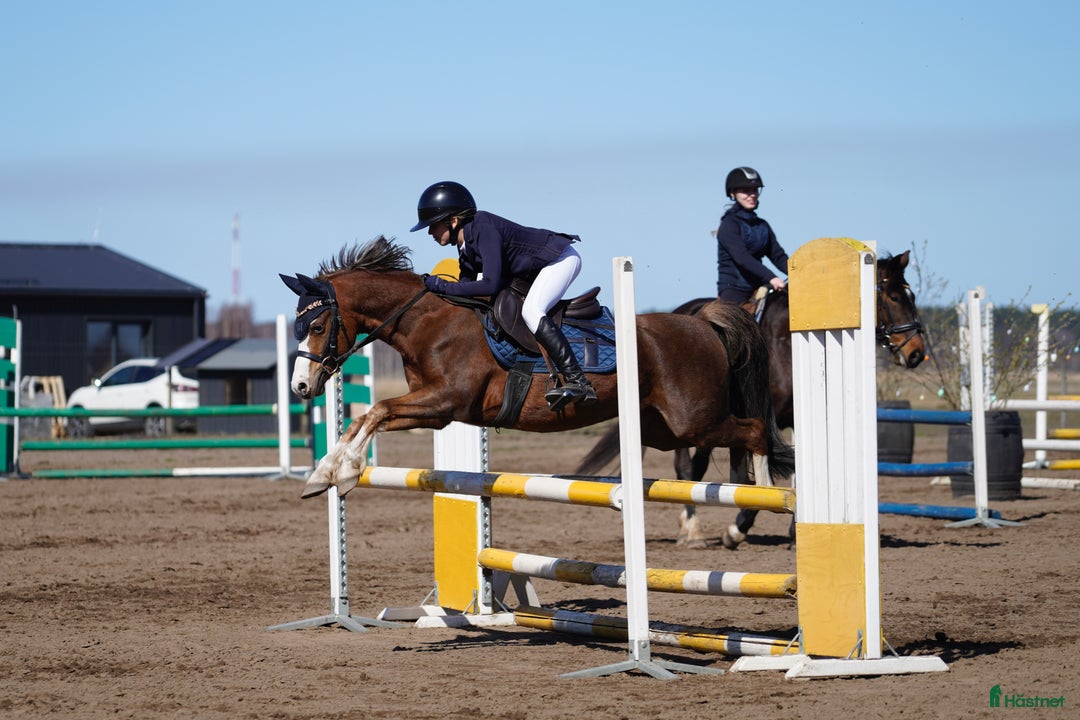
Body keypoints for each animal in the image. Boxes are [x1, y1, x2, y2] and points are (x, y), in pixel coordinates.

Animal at [281, 236, 795, 500]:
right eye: (298, 325)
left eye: (319, 324)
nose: (302, 386)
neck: (426, 320)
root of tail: (702, 321)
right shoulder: (438, 411)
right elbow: (370, 418)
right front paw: (324, 473)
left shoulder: (446, 401)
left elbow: (376, 411)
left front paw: (340, 472)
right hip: (664, 428)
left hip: (694, 419)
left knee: (754, 430)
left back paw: (771, 497)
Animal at [575, 251, 926, 548]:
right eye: (895, 297)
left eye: (911, 296)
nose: (915, 352)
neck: (784, 344)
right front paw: (737, 528)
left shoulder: (792, 420)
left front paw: (794, 532)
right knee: (688, 468)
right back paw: (692, 531)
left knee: (697, 466)